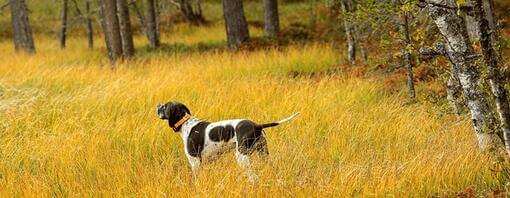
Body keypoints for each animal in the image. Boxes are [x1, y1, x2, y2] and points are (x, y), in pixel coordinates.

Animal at [156, 101, 298, 182]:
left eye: (165, 106)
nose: (157, 105)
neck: (186, 124)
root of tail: (257, 126)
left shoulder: (195, 162)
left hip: (242, 157)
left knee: (254, 178)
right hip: (264, 154)